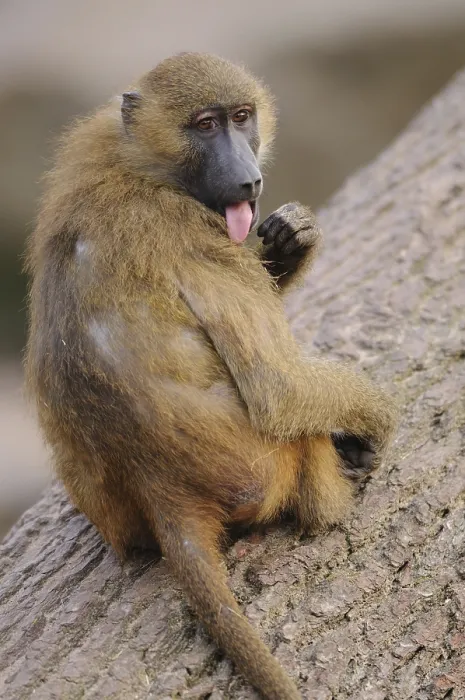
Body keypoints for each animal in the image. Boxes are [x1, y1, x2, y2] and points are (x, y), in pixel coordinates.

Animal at [25, 52, 397, 700]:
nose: (247, 180)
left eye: (241, 117)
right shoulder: (191, 233)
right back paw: (337, 494)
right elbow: (278, 390)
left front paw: (289, 242)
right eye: (204, 125)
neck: (143, 168)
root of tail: (159, 488)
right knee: (295, 426)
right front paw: (373, 428)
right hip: (263, 468)